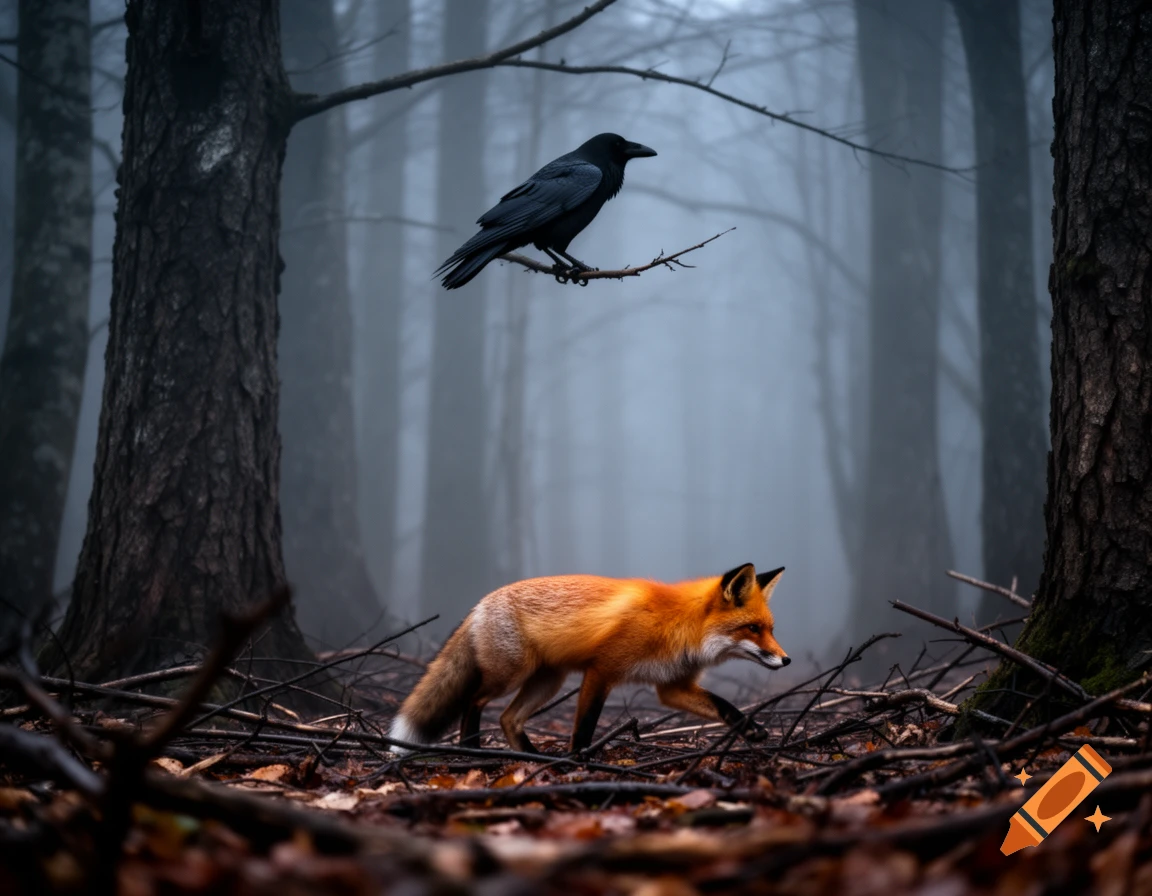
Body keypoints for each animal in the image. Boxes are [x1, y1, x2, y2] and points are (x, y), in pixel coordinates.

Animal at [389, 562, 789, 755]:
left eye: (771, 628)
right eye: (753, 628)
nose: (785, 660)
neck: (677, 624)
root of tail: (479, 604)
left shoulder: (672, 687)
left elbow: (723, 706)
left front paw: (750, 729)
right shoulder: (602, 670)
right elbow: (584, 726)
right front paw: (579, 760)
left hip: (547, 682)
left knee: (508, 719)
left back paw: (533, 759)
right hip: (510, 675)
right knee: (474, 702)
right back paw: (472, 749)